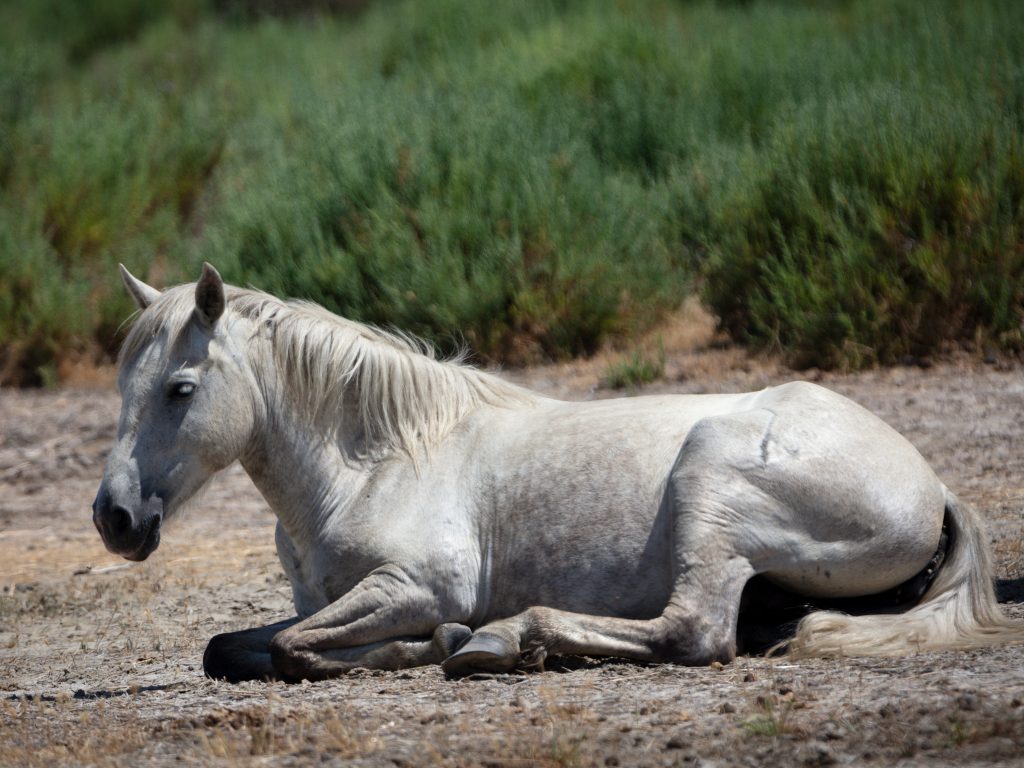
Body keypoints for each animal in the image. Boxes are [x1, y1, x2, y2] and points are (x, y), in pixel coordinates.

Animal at [92, 263, 1023, 682]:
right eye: (122, 384)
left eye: (180, 389)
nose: (115, 518)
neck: (376, 461)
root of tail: (932, 486)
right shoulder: (322, 599)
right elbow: (232, 647)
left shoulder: (417, 586)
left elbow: (294, 649)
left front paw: (432, 644)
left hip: (710, 485)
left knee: (694, 632)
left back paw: (502, 641)